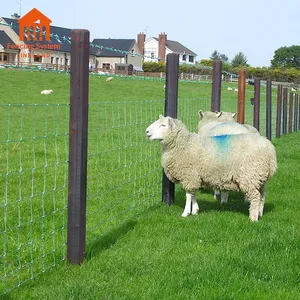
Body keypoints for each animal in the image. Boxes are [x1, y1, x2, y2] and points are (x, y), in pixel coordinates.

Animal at [145, 116, 276, 221]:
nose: (146, 131)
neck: (184, 144)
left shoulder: (189, 175)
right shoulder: (195, 176)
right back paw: (260, 213)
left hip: (250, 176)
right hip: (260, 177)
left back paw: (253, 218)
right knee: (262, 196)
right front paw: (195, 210)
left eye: (163, 125)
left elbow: (188, 195)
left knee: (255, 197)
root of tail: (270, 150)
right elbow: (193, 193)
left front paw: (186, 213)